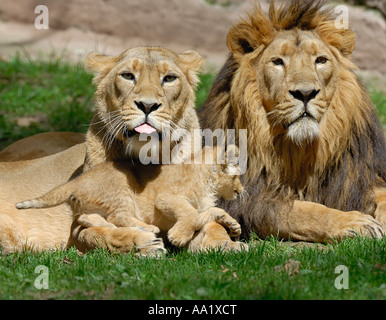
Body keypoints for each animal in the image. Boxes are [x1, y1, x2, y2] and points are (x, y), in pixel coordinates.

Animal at [0, 46, 240, 254]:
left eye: (169, 78)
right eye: (128, 76)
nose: (147, 105)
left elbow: (208, 222)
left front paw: (225, 242)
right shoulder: (77, 228)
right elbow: (98, 235)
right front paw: (142, 243)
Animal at [199, 0, 386, 241]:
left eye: (321, 60)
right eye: (278, 62)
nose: (305, 93)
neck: (298, 151)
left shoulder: (358, 179)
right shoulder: (250, 200)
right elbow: (305, 211)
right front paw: (355, 222)